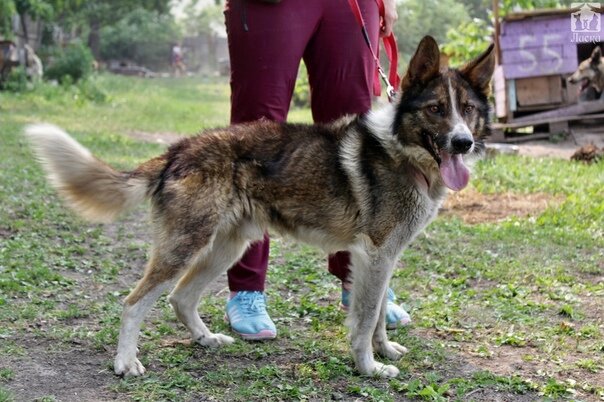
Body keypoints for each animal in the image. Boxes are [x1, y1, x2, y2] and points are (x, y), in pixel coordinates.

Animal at [24, 36, 496, 378]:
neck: (402, 151)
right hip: (185, 246)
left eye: (468, 110)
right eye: (436, 109)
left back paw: (207, 340)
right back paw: (125, 362)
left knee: (181, 297)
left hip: (226, 247)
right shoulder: (374, 255)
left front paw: (385, 349)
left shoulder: (383, 258)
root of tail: (178, 150)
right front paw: (369, 367)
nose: (462, 143)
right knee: (134, 302)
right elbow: (362, 321)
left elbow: (378, 315)